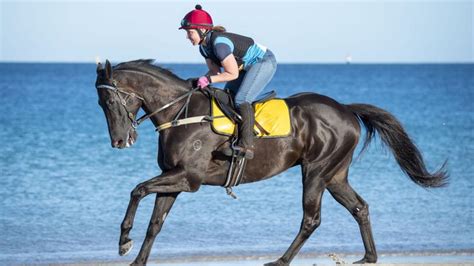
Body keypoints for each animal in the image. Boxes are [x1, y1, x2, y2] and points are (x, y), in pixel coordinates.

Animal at [95, 59, 448, 264]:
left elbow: (137, 190)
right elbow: (156, 223)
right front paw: (136, 257)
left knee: (311, 219)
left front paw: (124, 241)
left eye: (109, 100)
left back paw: (280, 260)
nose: (119, 141)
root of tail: (346, 109)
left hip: (316, 171)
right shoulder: (173, 177)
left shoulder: (188, 178)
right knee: (360, 207)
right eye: (100, 103)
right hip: (335, 175)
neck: (181, 113)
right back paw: (369, 257)